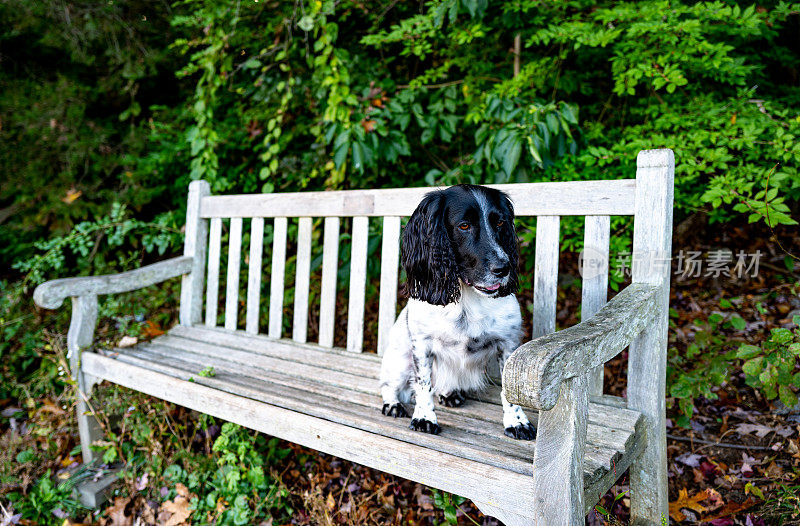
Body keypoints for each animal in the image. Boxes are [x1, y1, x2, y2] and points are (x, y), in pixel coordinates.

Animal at [378, 186, 536, 442]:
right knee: (388, 385)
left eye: (500, 222)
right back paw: (393, 404)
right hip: (399, 360)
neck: (466, 300)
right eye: (464, 226)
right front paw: (424, 418)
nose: (504, 268)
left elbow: (509, 391)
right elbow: (423, 384)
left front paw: (517, 422)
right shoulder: (421, 344)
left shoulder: (508, 344)